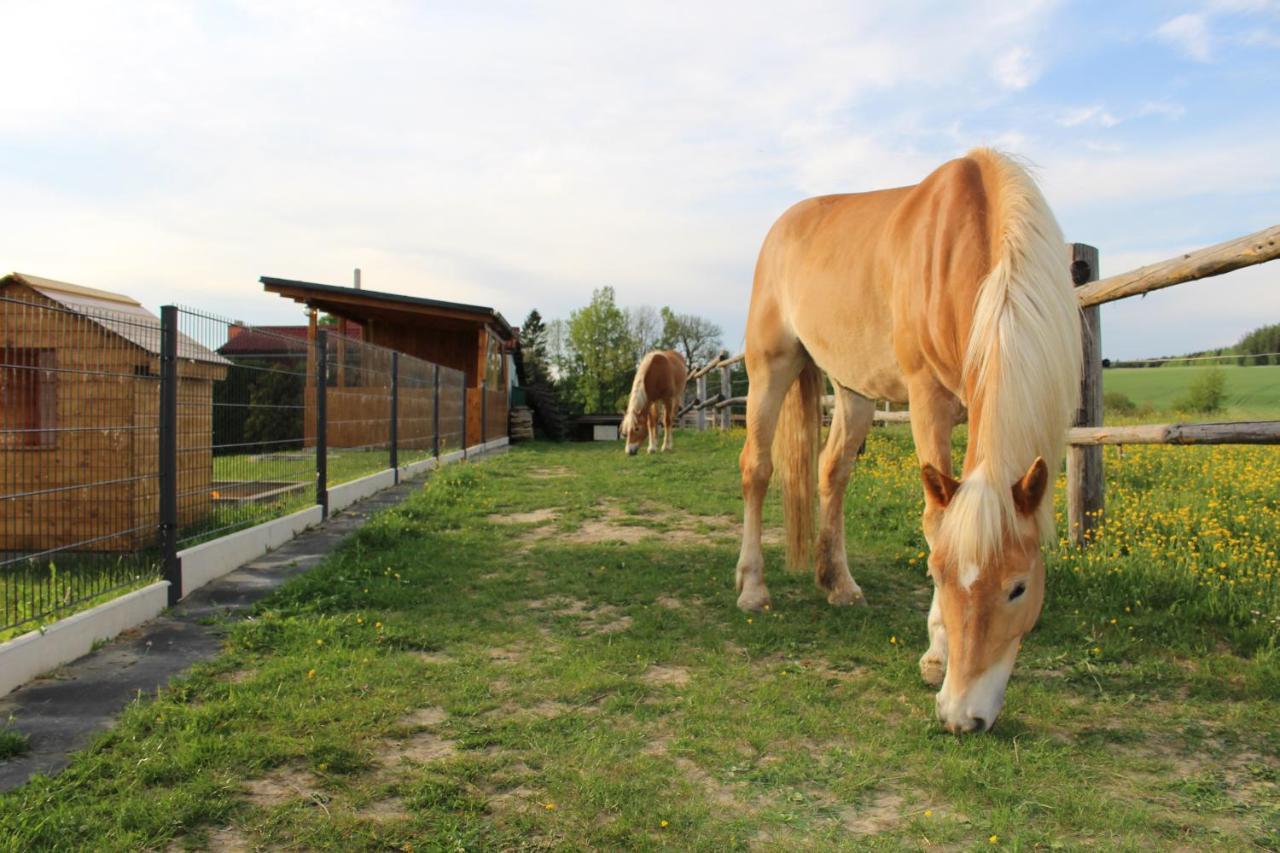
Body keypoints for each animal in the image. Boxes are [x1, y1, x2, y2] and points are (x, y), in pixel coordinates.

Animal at [742, 147, 1080, 732]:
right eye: (938, 575)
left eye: (1018, 587)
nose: (962, 716)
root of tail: (783, 226)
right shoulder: (927, 400)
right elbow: (934, 520)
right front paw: (936, 655)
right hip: (771, 366)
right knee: (757, 469)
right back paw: (752, 589)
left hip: (852, 388)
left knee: (833, 471)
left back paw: (839, 584)